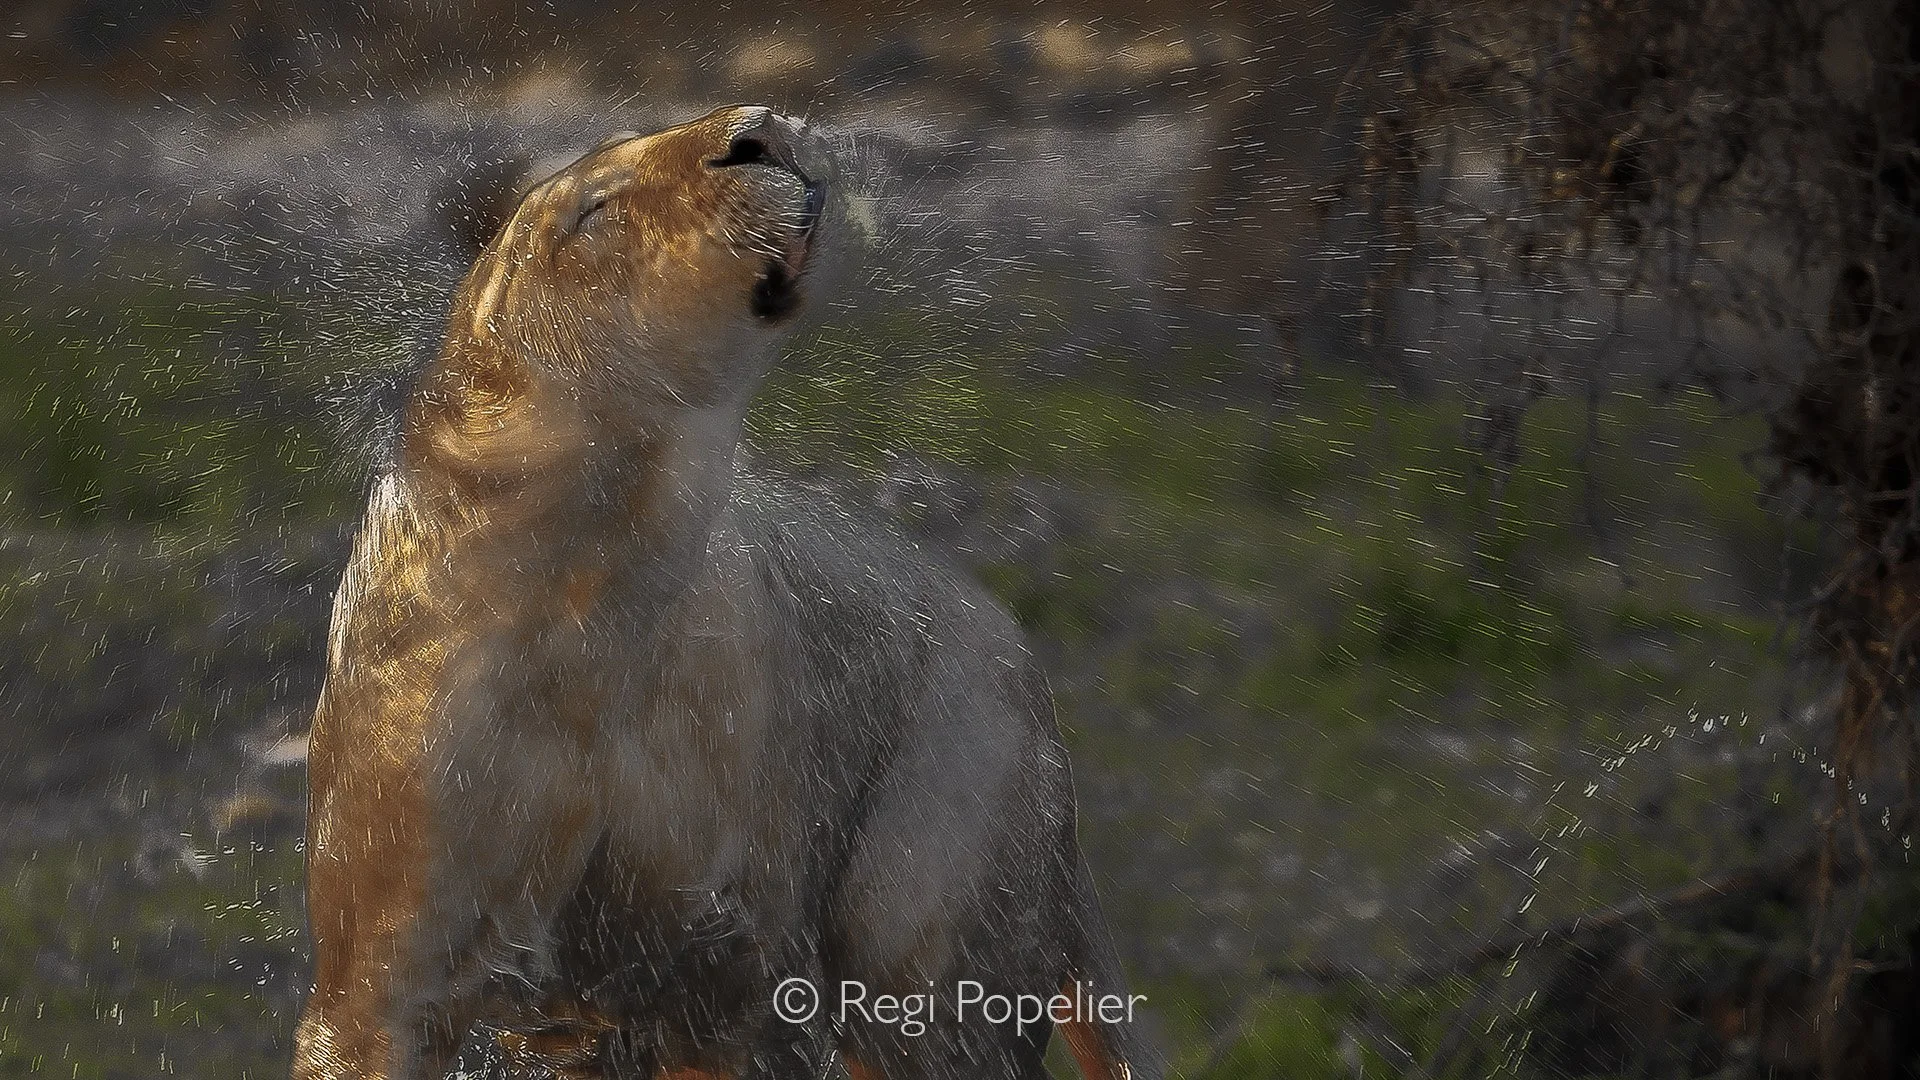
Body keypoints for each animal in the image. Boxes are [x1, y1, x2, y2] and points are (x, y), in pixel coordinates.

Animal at [291, 106, 1153, 1080]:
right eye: (594, 208)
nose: (758, 130)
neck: (595, 615)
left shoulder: (734, 958)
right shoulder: (393, 946)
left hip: (938, 871)